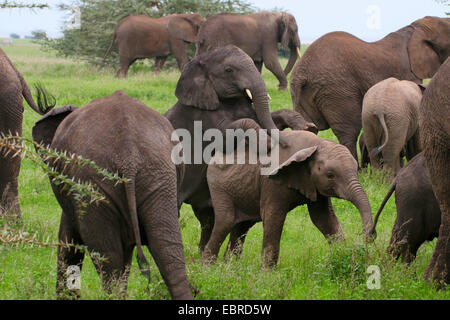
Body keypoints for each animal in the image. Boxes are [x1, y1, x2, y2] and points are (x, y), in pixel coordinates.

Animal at [32, 90, 192, 300]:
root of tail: (129, 153)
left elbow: (69, 240)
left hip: (93, 183)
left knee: (108, 257)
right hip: (160, 175)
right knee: (167, 249)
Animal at [164, 45, 312, 255]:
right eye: (229, 70)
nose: (284, 143)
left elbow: (267, 119)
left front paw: (307, 127)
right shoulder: (201, 117)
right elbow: (229, 133)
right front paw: (267, 143)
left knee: (207, 217)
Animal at [202, 127, 374, 268]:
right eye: (330, 175)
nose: (368, 237)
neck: (315, 145)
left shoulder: (314, 185)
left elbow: (323, 218)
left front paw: (343, 255)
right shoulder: (271, 182)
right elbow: (273, 217)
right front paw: (267, 275)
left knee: (242, 226)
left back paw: (230, 268)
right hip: (218, 185)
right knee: (226, 221)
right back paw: (208, 269)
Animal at [290, 16, 450, 164]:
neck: (415, 29)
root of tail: (302, 72)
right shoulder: (408, 73)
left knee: (308, 129)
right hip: (337, 91)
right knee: (349, 132)